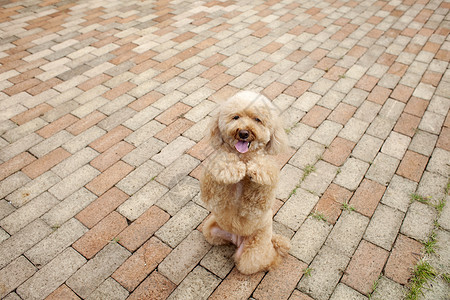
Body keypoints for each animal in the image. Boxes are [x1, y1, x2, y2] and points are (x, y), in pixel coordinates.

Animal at [200, 91, 292, 274]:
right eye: (236, 117)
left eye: (258, 120)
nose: (243, 133)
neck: (243, 156)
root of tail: (236, 239)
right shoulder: (213, 194)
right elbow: (220, 166)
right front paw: (232, 169)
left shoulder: (256, 205)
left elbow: (262, 169)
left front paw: (256, 169)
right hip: (210, 230)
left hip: (252, 254)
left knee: (269, 259)